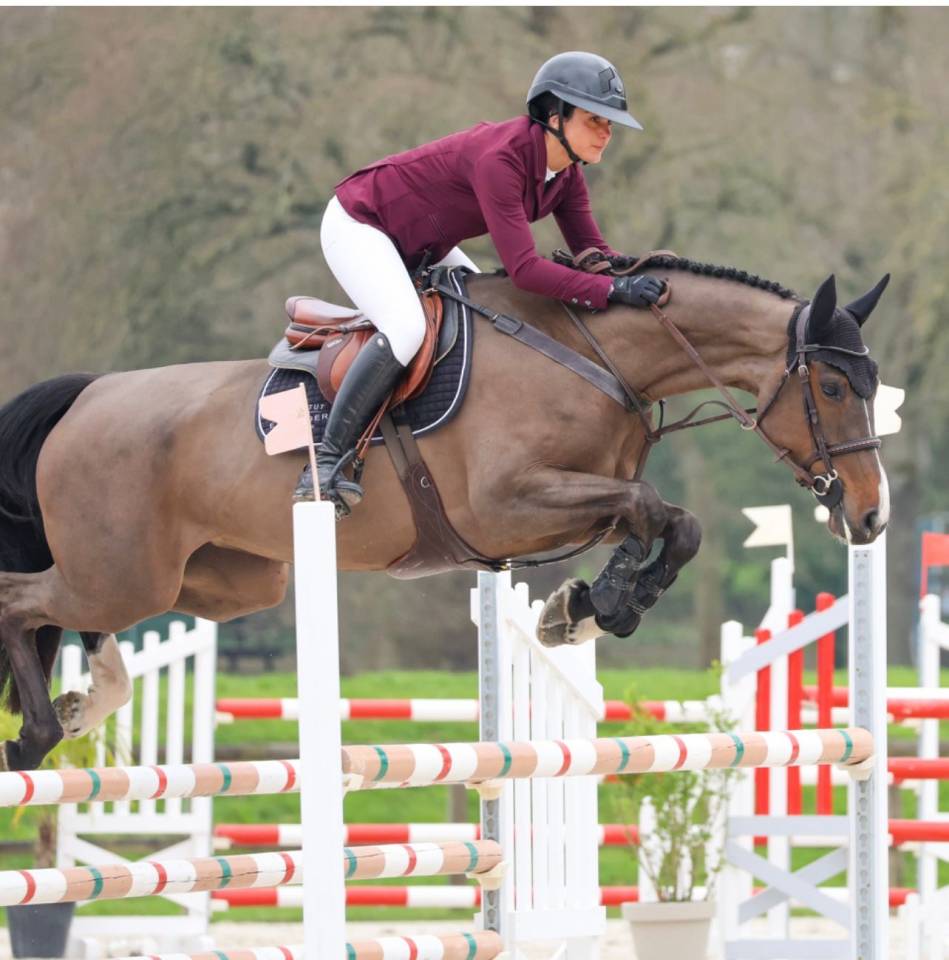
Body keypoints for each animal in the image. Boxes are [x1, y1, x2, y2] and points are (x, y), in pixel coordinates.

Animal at [0, 257, 890, 771]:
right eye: (832, 386)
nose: (872, 516)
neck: (591, 355)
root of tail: (86, 396)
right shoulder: (506, 504)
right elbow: (650, 510)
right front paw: (596, 606)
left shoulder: (566, 503)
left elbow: (671, 524)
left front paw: (584, 608)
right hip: (125, 571)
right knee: (22, 602)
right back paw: (35, 737)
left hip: (222, 579)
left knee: (81, 617)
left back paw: (85, 703)